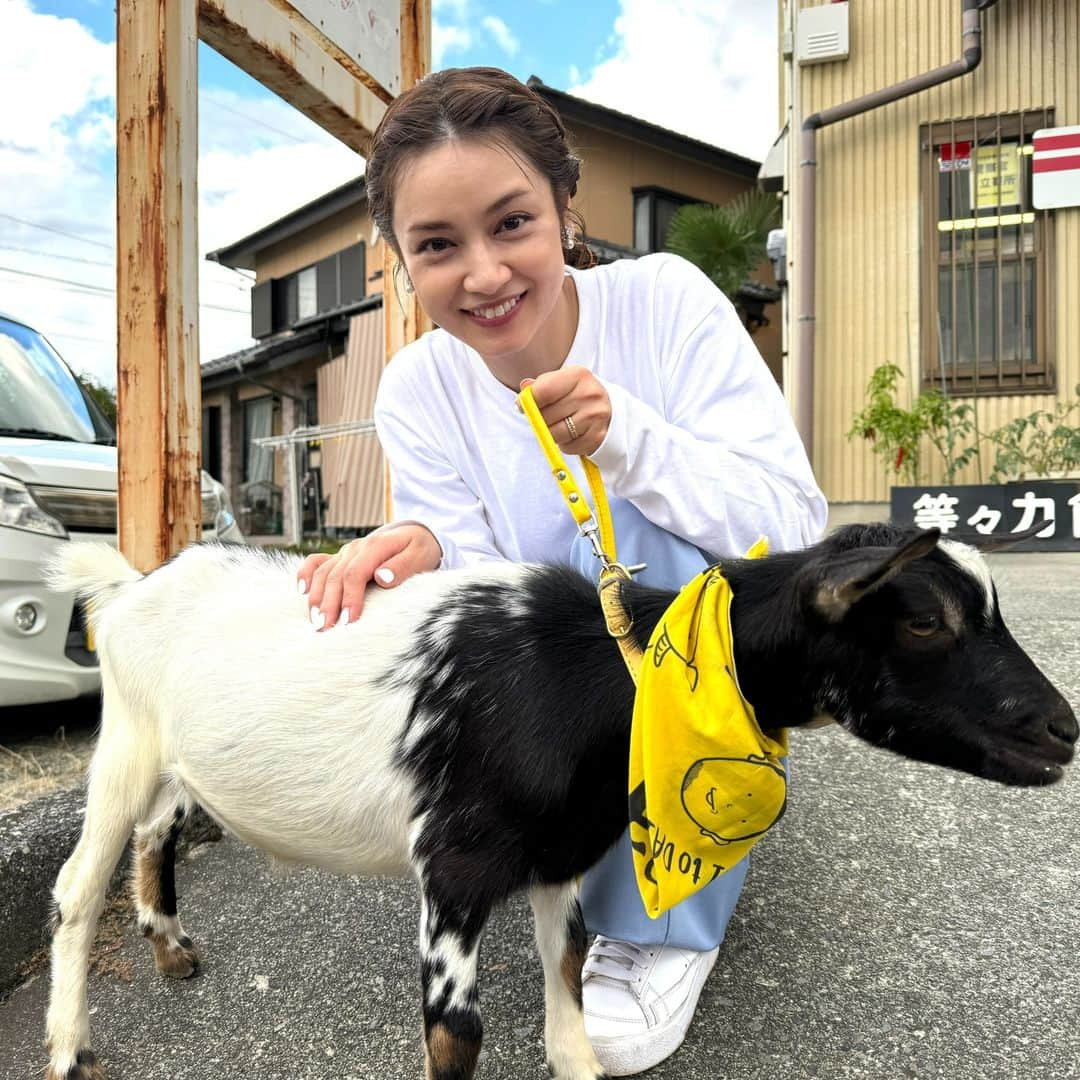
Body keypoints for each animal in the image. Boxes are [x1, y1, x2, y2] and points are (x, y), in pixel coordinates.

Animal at [39, 524, 1071, 1080]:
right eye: (925, 620)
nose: (1064, 730)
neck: (600, 674)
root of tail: (133, 583)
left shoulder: (561, 857)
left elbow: (569, 982)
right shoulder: (453, 870)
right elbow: (457, 1032)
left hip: (176, 760)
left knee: (157, 830)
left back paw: (169, 946)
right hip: (123, 739)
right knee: (76, 888)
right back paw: (70, 1048)